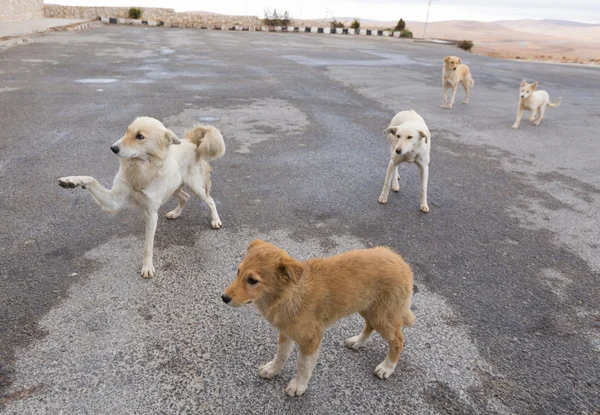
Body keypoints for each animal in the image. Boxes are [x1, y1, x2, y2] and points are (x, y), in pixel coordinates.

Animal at [223, 242, 414, 398]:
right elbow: (281, 355)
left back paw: (387, 367)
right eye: (238, 272)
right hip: (368, 308)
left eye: (252, 280)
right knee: (370, 325)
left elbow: (303, 365)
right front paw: (273, 370)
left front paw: (298, 386)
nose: (223, 298)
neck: (291, 294)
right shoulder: (286, 332)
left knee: (398, 340)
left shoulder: (311, 339)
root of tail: (401, 261)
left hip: (383, 315)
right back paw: (358, 342)